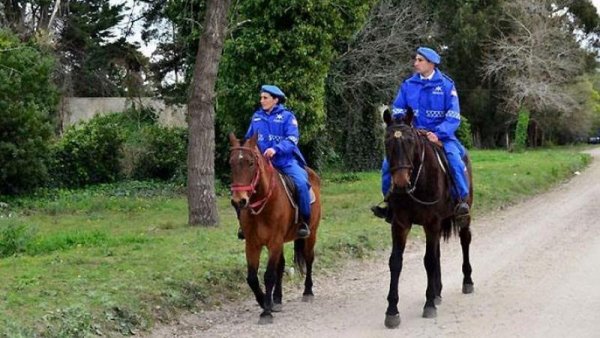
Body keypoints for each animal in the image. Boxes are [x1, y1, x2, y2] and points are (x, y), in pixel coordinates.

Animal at [227, 133, 322, 324]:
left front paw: (266, 312)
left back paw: (308, 292)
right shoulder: (252, 244)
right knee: (282, 266)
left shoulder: (274, 241)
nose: (239, 201)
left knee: (309, 259)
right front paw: (265, 302)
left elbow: (269, 275)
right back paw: (277, 299)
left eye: (250, 162)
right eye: (231, 163)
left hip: (310, 235)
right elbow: (252, 278)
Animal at [382, 110, 476, 328]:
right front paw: (392, 311)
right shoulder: (400, 224)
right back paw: (438, 291)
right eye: (387, 142)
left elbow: (429, 260)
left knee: (464, 241)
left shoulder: (431, 223)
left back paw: (467, 282)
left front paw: (429, 304)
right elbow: (396, 262)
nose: (400, 182)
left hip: (462, 218)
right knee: (438, 252)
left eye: (410, 141)